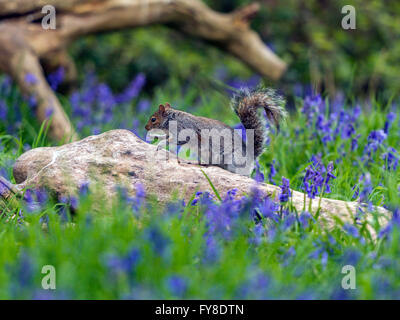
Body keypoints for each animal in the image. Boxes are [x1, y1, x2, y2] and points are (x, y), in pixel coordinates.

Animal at [145, 86, 286, 176]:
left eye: (153, 119)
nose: (146, 127)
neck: (172, 119)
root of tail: (251, 156)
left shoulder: (184, 131)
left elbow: (175, 140)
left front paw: (160, 145)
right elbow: (167, 137)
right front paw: (158, 139)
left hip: (232, 159)